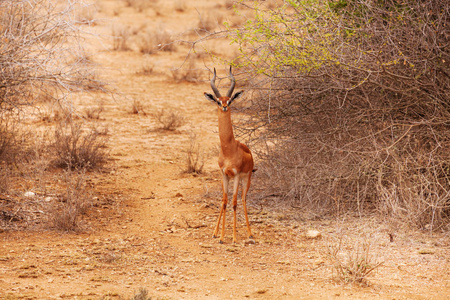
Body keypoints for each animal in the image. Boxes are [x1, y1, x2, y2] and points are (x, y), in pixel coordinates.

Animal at [205, 66, 255, 244]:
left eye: (230, 100)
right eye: (218, 101)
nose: (225, 106)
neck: (229, 149)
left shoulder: (237, 175)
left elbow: (233, 202)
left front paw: (232, 236)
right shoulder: (224, 174)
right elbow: (224, 201)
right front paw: (219, 235)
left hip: (246, 179)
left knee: (243, 199)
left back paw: (249, 233)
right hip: (231, 179)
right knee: (227, 200)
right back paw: (216, 232)